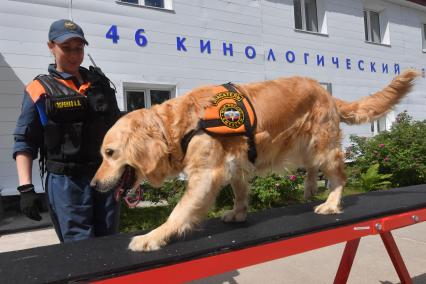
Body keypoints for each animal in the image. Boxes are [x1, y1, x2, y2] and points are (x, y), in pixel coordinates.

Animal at [91, 70, 418, 252]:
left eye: (110, 153)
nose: (94, 185)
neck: (180, 126)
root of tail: (325, 92)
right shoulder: (236, 163)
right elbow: (239, 192)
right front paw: (238, 213)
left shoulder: (206, 173)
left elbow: (179, 212)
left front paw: (153, 237)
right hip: (300, 145)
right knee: (313, 166)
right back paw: (310, 187)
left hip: (321, 143)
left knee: (338, 174)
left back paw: (331, 202)